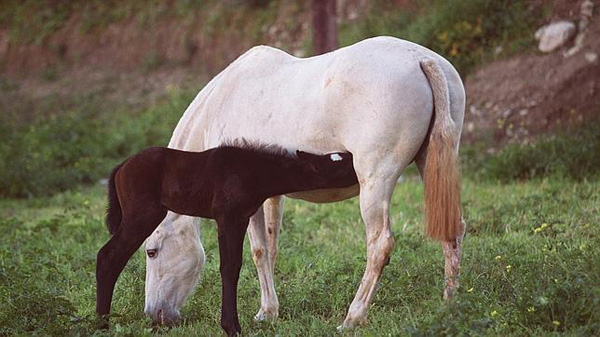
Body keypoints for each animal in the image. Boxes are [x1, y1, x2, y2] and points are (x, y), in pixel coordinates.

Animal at [95, 143, 354, 334]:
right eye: (341, 166)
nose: (360, 168)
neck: (252, 170)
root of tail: (121, 167)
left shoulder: (241, 218)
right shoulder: (229, 217)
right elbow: (230, 266)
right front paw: (232, 327)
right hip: (142, 216)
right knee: (108, 257)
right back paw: (101, 324)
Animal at [143, 36, 466, 328]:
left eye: (152, 251)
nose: (154, 315)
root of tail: (422, 59)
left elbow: (258, 251)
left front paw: (265, 312)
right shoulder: (271, 196)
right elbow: (271, 247)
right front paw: (269, 310)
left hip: (375, 181)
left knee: (380, 245)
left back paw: (353, 317)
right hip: (433, 165)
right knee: (453, 229)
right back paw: (449, 304)